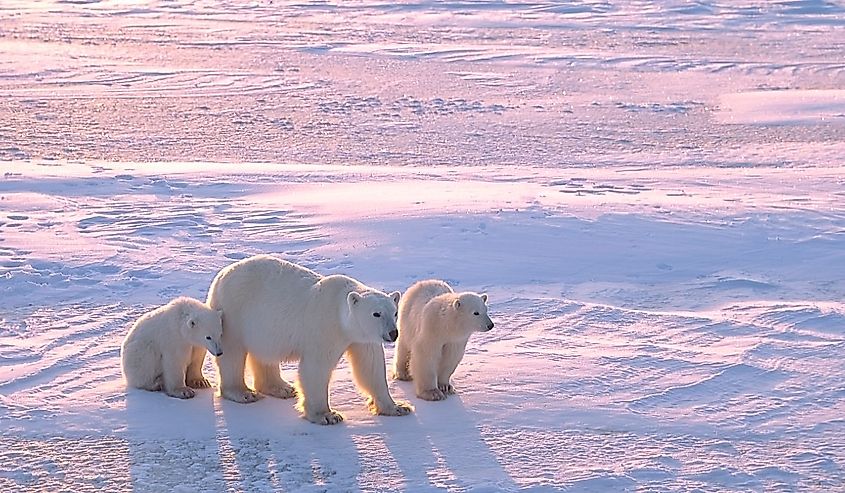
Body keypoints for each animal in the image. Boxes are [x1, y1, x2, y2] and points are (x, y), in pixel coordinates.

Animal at [208, 254, 412, 422]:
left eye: (394, 312)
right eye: (376, 314)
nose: (393, 333)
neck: (340, 313)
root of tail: (221, 275)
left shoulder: (362, 338)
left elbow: (371, 367)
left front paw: (398, 407)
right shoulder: (325, 327)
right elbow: (316, 368)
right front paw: (327, 415)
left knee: (265, 354)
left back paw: (282, 388)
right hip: (234, 312)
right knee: (232, 353)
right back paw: (242, 393)